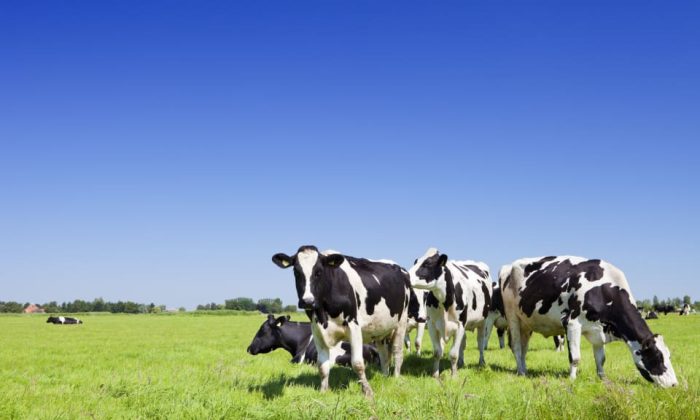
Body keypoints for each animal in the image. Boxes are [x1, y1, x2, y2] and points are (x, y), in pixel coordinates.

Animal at [272, 246, 411, 397]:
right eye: (296, 272)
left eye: (319, 272)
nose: (307, 301)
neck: (324, 314)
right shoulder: (317, 330)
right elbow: (322, 365)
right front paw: (323, 391)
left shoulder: (354, 326)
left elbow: (357, 363)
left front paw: (367, 392)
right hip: (381, 329)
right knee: (384, 354)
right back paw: (384, 376)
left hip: (401, 322)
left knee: (397, 351)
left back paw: (395, 378)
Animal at [408, 248, 492, 377]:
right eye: (415, 262)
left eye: (427, 264)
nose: (406, 275)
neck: (445, 302)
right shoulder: (432, 325)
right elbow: (437, 352)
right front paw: (436, 375)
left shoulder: (460, 325)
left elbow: (453, 354)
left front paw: (454, 376)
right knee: (463, 344)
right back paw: (461, 363)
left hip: (483, 321)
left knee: (480, 342)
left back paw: (481, 363)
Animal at [500, 256, 677, 387]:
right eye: (657, 356)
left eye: (669, 355)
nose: (674, 384)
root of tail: (508, 266)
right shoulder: (571, 323)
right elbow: (575, 357)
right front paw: (572, 380)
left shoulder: (599, 330)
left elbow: (601, 359)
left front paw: (603, 379)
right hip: (512, 317)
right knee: (517, 347)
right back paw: (521, 372)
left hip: (526, 323)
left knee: (524, 349)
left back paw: (524, 369)